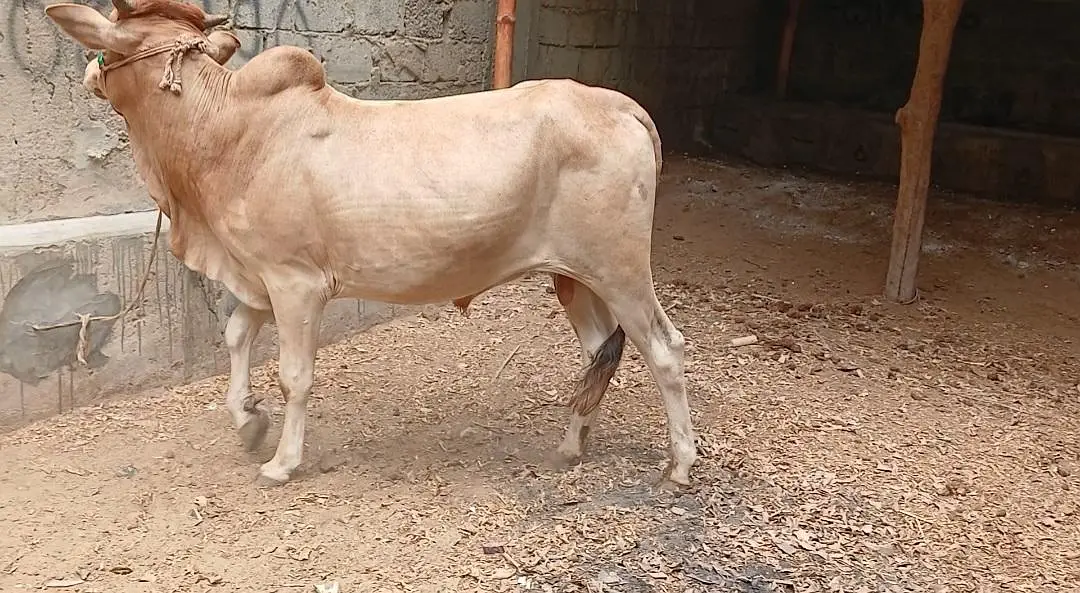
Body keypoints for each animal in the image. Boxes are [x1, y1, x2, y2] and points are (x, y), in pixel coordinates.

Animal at [44, 0, 698, 490]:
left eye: (107, 45)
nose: (87, 74)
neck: (225, 131)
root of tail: (620, 104)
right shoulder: (257, 276)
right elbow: (234, 338)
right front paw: (247, 421)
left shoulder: (295, 282)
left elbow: (294, 375)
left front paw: (280, 462)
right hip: (574, 276)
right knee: (601, 350)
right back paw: (571, 443)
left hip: (619, 269)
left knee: (664, 349)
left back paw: (681, 463)